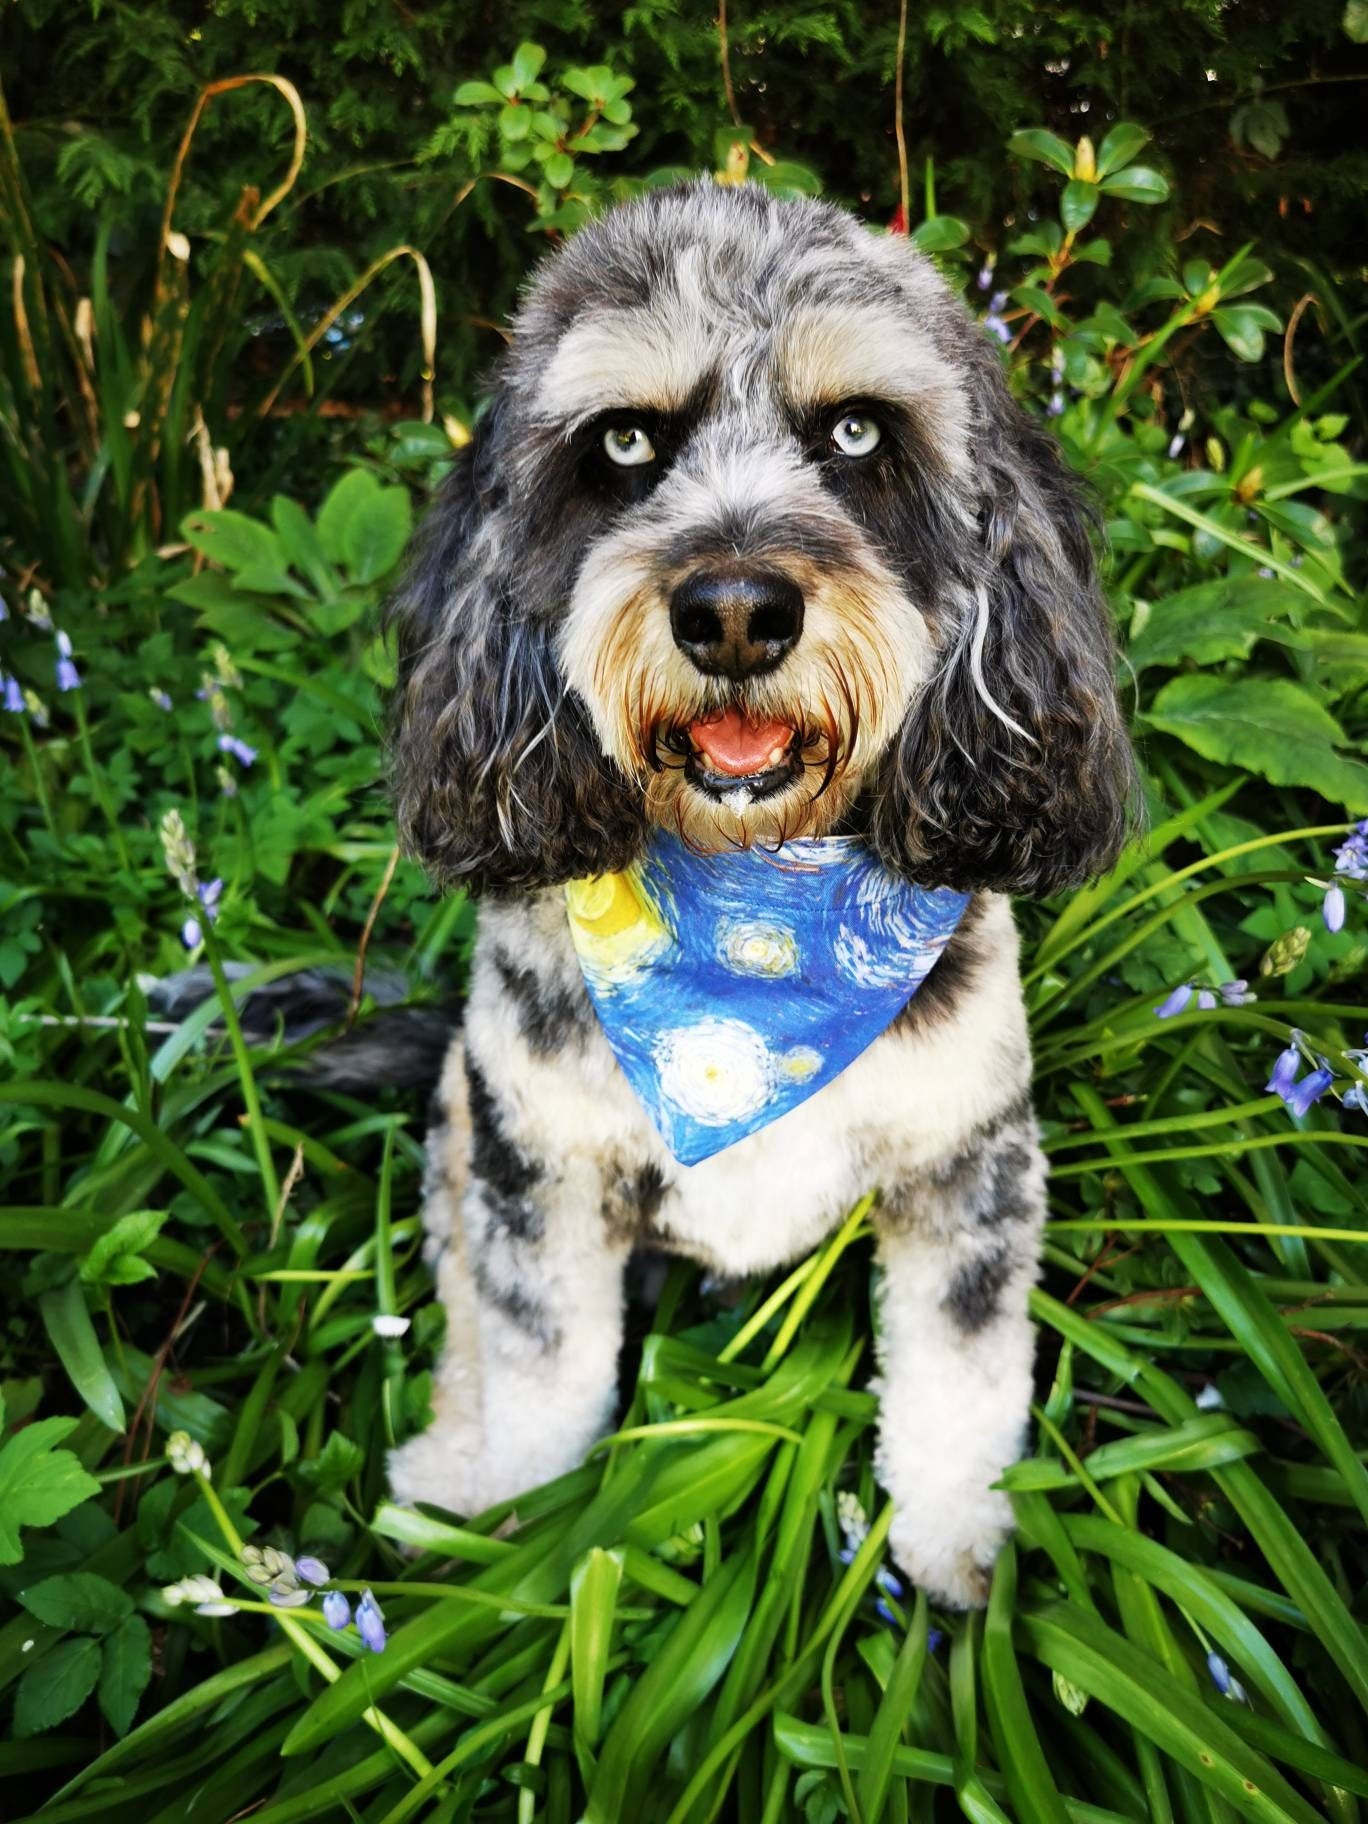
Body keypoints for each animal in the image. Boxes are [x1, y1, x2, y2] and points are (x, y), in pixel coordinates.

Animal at [381, 177, 1130, 1612]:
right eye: (623, 442)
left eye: (856, 430)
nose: (734, 612)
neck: (753, 938)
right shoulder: (538, 1166)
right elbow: (541, 1370)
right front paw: (526, 1539)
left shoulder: (971, 1162)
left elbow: (959, 1379)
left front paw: (954, 1550)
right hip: (463, 1115)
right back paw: (452, 1470)